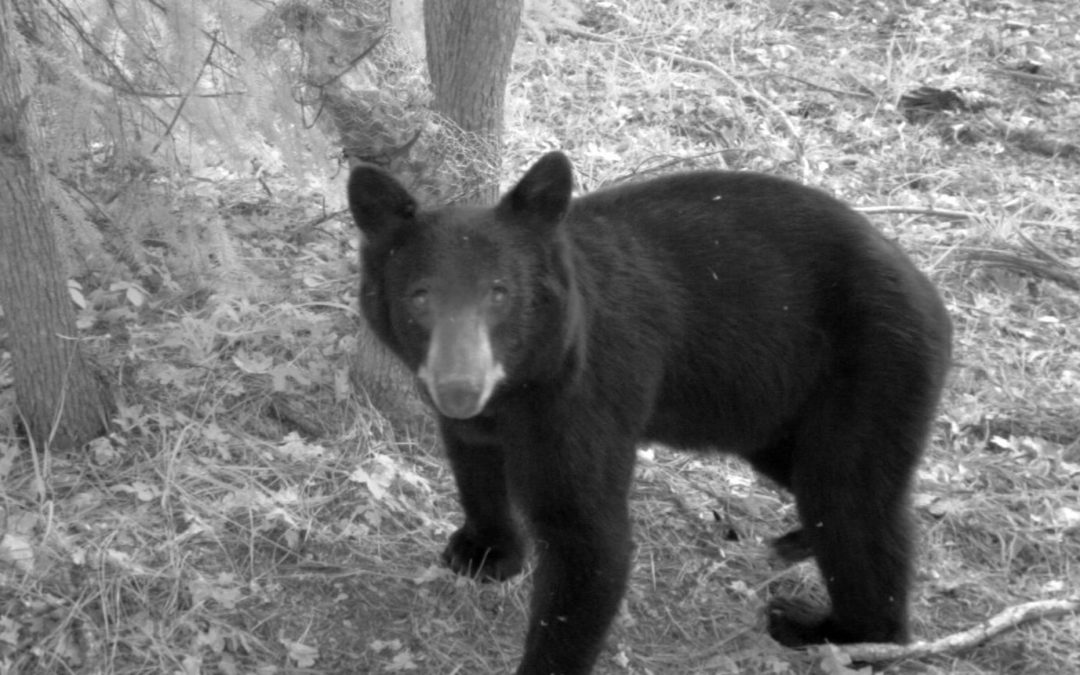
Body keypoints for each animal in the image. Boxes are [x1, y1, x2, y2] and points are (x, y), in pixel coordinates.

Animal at [347, 152, 954, 673]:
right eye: (419, 295)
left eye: (499, 293)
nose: (458, 387)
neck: (518, 385)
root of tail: (930, 293)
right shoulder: (481, 417)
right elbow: (474, 462)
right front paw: (484, 550)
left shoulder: (581, 398)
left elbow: (588, 539)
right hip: (768, 406)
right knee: (817, 478)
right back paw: (799, 540)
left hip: (873, 368)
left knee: (850, 498)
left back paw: (830, 629)